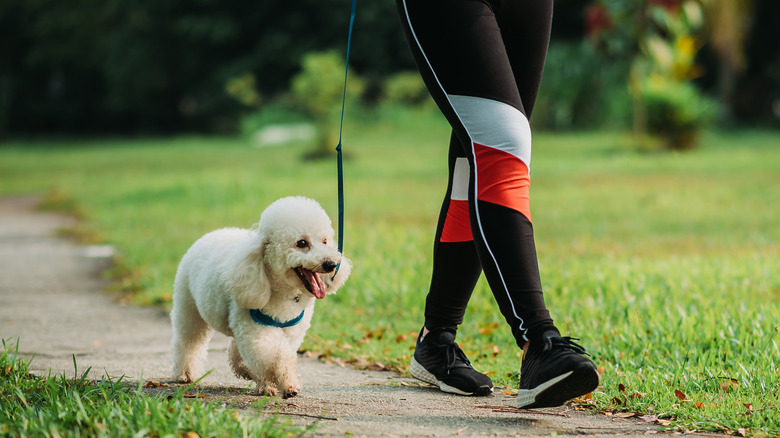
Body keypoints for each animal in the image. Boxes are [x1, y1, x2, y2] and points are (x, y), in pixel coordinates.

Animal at [174, 197, 354, 398]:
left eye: (325, 241)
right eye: (301, 243)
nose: (331, 264)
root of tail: (211, 234)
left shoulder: (292, 330)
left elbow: (281, 354)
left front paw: (273, 383)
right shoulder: (256, 330)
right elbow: (274, 356)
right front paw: (283, 384)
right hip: (188, 307)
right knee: (188, 341)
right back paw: (185, 374)